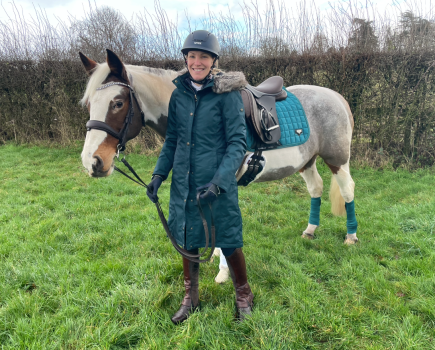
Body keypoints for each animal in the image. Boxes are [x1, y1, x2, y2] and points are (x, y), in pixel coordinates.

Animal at [80, 49, 360, 245]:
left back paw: (351, 236)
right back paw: (310, 231)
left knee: (347, 190)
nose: (92, 161)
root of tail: (336, 96)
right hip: (307, 160)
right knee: (316, 188)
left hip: (337, 159)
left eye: (117, 103)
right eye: (89, 103)